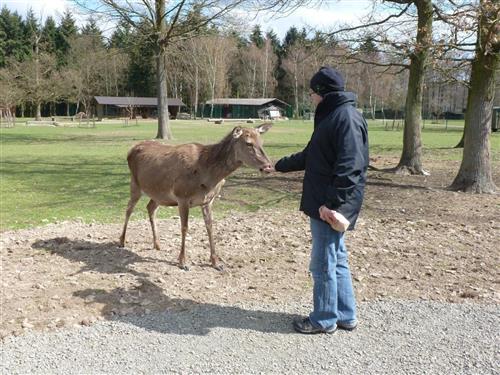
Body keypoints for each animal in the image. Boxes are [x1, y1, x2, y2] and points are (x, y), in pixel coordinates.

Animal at [118, 125, 274, 272]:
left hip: (159, 194)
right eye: (248, 143)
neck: (208, 176)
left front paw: (216, 263)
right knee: (128, 209)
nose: (269, 166)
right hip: (135, 184)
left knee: (150, 208)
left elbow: (210, 227)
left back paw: (157, 244)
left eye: (261, 141)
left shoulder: (208, 200)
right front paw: (183, 262)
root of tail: (131, 149)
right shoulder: (182, 196)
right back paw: (122, 241)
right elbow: (184, 227)